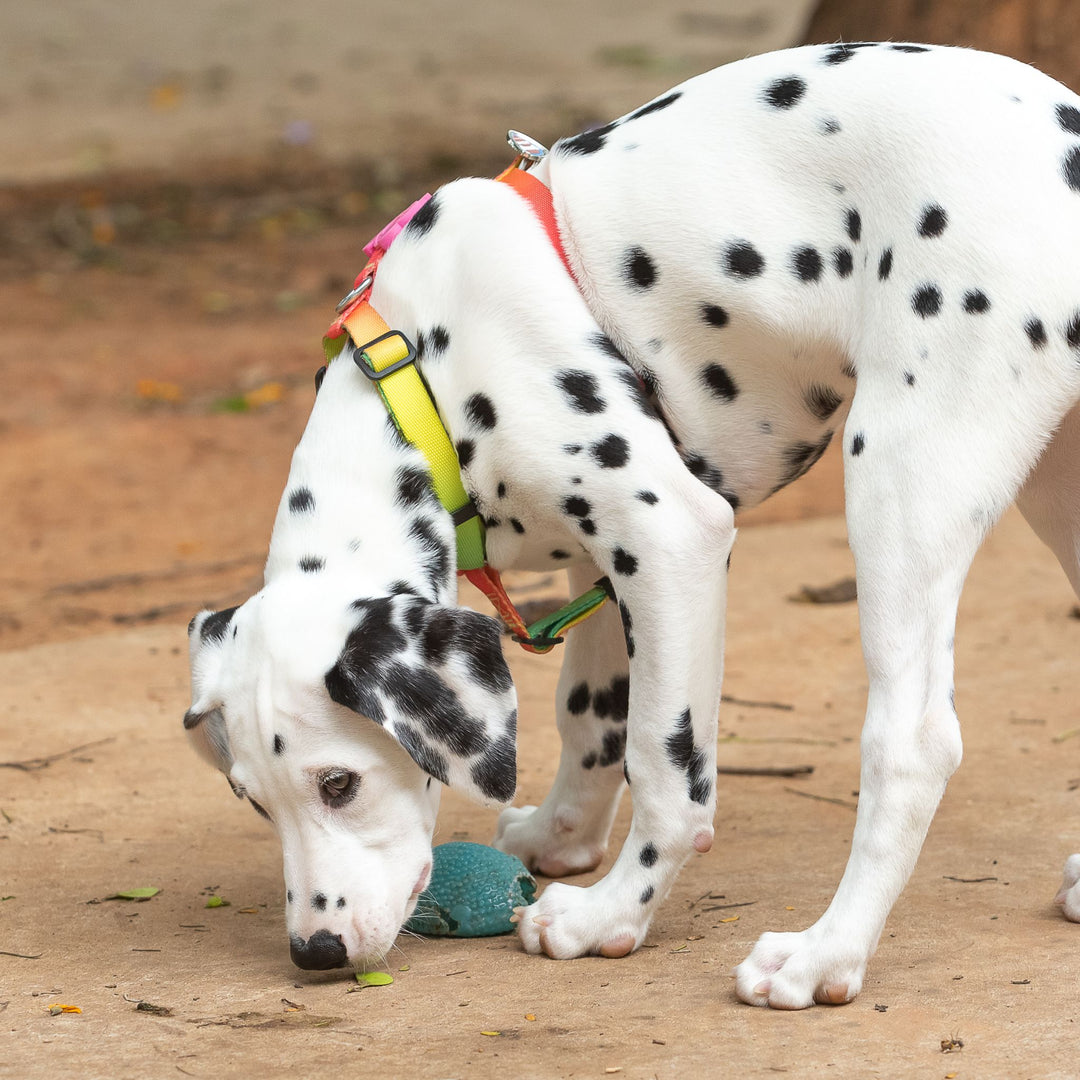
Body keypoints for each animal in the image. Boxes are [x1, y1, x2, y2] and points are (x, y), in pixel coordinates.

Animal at [185, 42, 1080, 1002]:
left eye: (339, 784)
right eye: (253, 799)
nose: (314, 951)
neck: (422, 374)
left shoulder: (674, 537)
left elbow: (663, 762)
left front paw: (613, 916)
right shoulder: (604, 565)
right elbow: (591, 714)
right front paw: (565, 837)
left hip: (900, 482)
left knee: (913, 743)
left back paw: (825, 954)